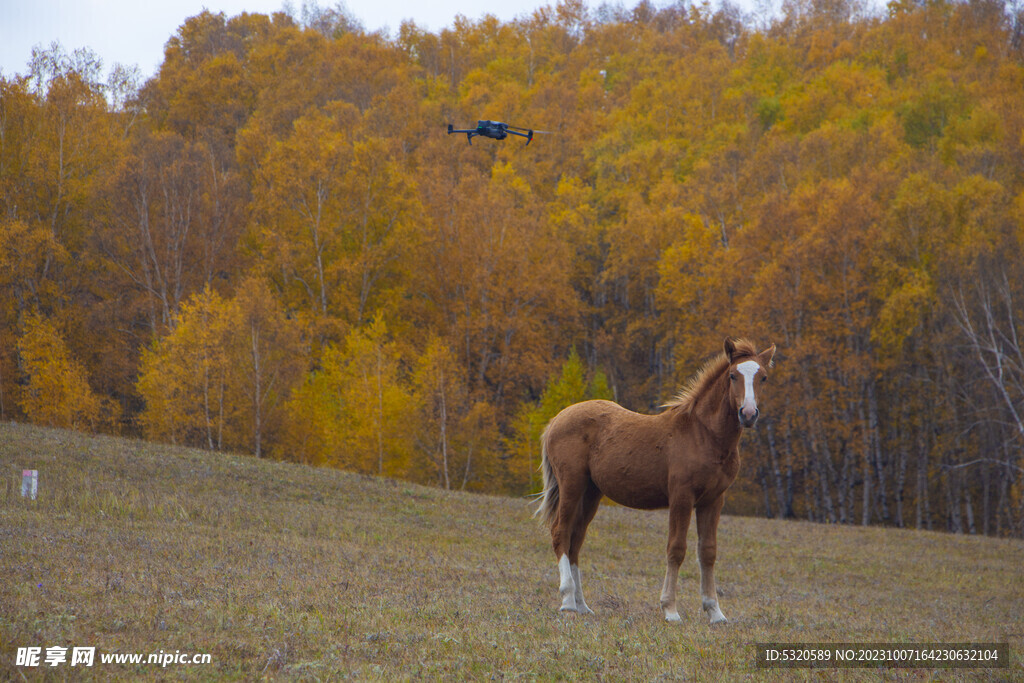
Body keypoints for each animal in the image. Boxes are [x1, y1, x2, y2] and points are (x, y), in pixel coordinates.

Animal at [536, 339, 774, 622]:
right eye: (733, 375)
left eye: (763, 377)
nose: (748, 414)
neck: (704, 435)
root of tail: (556, 420)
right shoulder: (682, 497)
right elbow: (676, 549)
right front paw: (670, 609)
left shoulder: (714, 500)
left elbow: (708, 552)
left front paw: (715, 612)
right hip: (571, 485)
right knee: (560, 532)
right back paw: (567, 601)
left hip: (592, 492)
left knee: (576, 540)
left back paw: (582, 604)